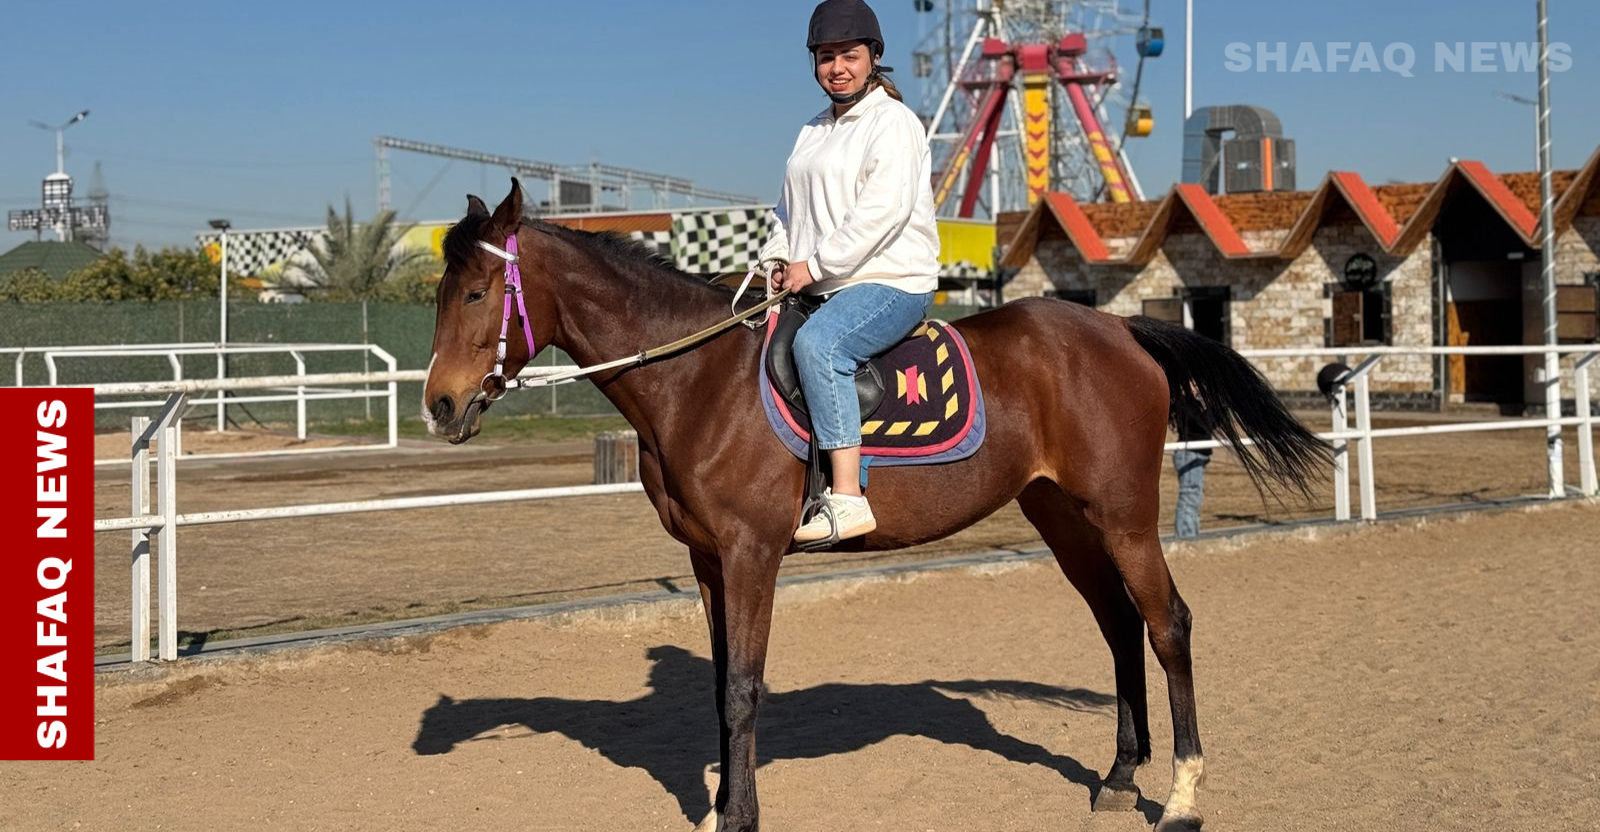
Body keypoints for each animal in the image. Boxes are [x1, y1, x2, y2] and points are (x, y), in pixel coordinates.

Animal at [422, 182, 1324, 832]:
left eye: (477, 293)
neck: (698, 380)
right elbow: (717, 688)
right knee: (1118, 624)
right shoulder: (707, 561)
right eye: (439, 292)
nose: (439, 405)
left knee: (1169, 624)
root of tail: (1123, 331)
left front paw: (739, 819)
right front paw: (718, 810)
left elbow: (743, 688)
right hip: (1065, 518)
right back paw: (1117, 777)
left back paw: (1182, 799)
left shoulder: (752, 555)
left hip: (1126, 515)